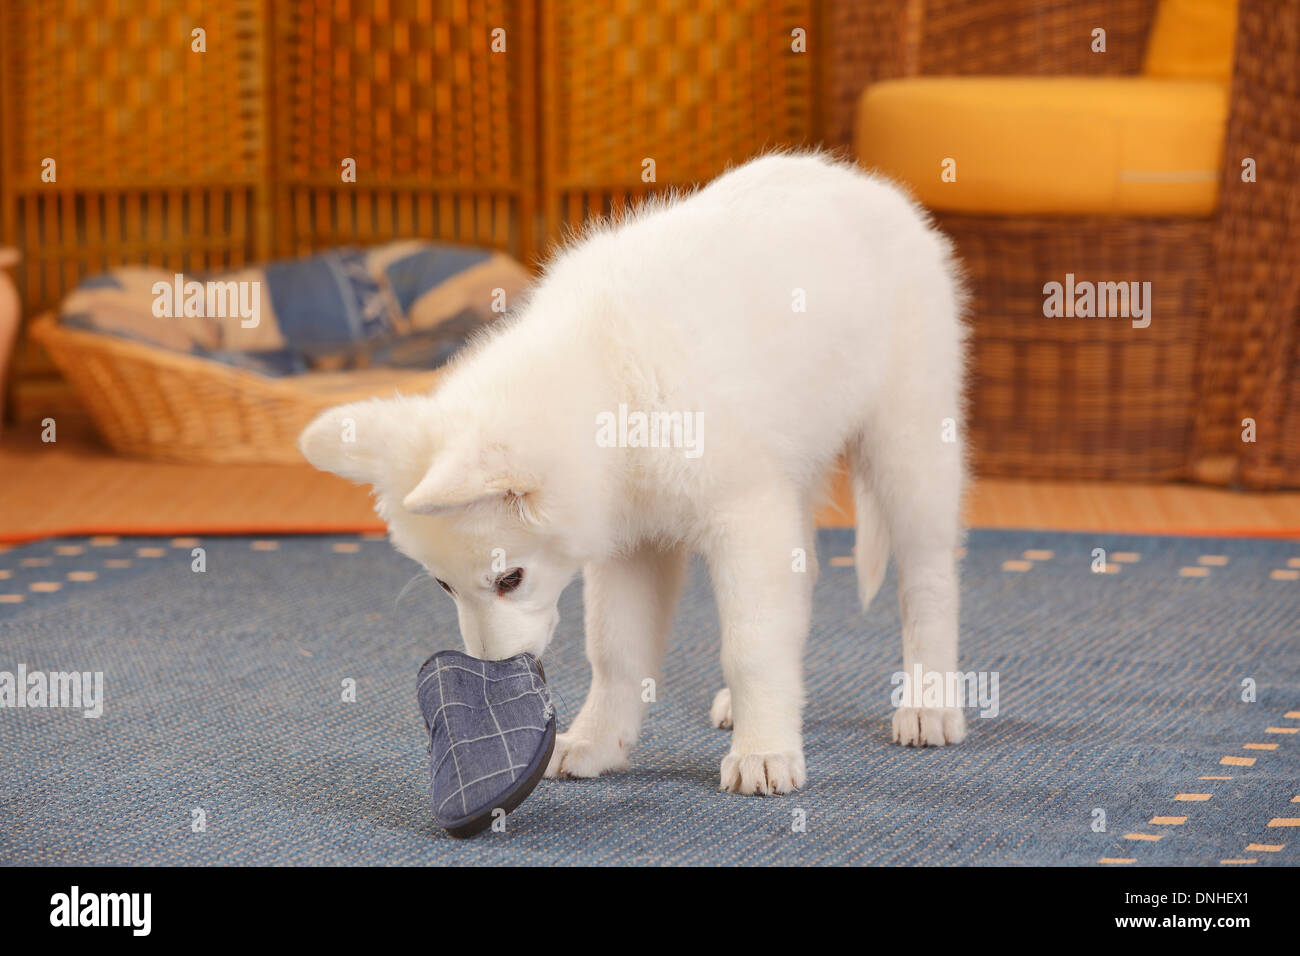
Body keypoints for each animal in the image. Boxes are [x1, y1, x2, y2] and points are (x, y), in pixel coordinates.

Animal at [301, 153, 967, 796]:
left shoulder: (742, 516)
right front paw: (598, 742)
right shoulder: (633, 543)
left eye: (510, 579)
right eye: (444, 586)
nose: (495, 678)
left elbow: (751, 643)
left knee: (928, 582)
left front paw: (764, 753)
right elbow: (617, 652)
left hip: (908, 447)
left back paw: (929, 702)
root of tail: (866, 184)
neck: (613, 387)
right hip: (793, 473)